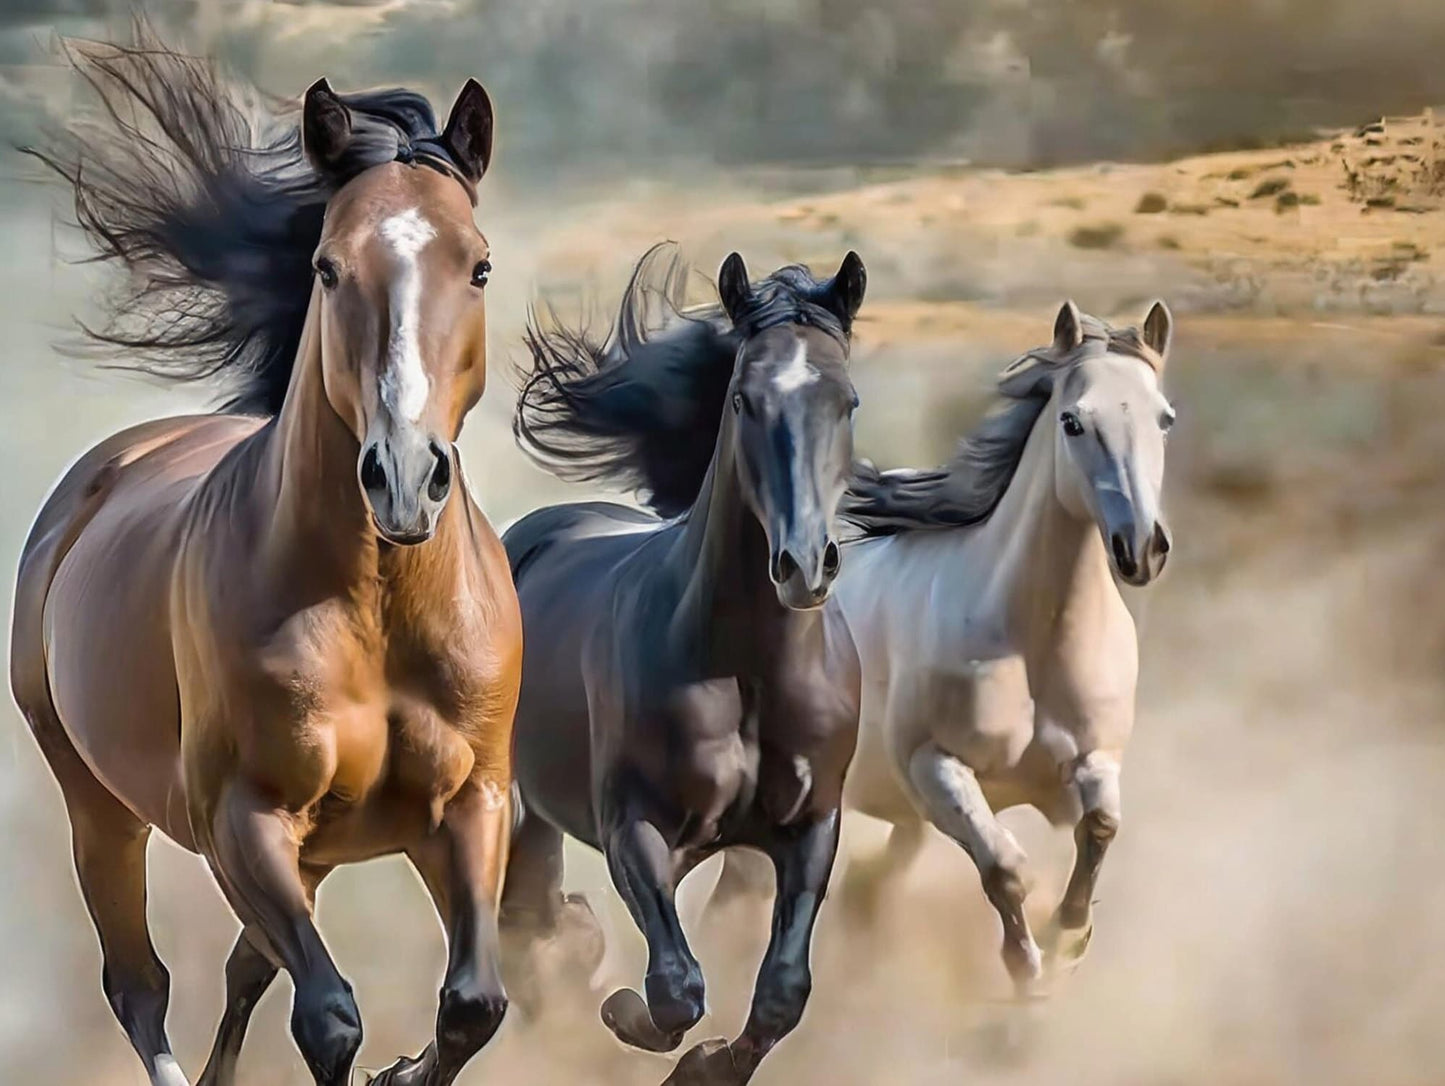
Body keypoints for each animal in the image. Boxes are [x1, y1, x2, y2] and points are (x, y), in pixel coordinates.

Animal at [10, 39, 521, 1086]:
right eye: (328, 266)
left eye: (479, 265)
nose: (403, 478)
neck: (377, 606)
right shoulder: (243, 821)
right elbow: (328, 1018)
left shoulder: (469, 806)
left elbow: (471, 1006)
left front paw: (407, 1067)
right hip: (98, 805)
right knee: (141, 986)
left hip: (315, 850)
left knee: (244, 969)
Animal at [499, 245, 866, 1084]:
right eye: (743, 400)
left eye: (846, 400)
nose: (802, 564)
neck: (747, 669)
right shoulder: (632, 828)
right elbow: (674, 989)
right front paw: (617, 1008)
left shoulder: (808, 828)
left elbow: (781, 990)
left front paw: (707, 1064)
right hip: (520, 809)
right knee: (521, 928)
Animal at [720, 299, 1176, 1007]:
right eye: (1073, 421)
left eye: (1164, 419)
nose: (1143, 548)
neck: (1030, 640)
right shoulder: (935, 769)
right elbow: (1005, 866)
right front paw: (1029, 973)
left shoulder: (1093, 760)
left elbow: (1099, 828)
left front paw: (1067, 937)